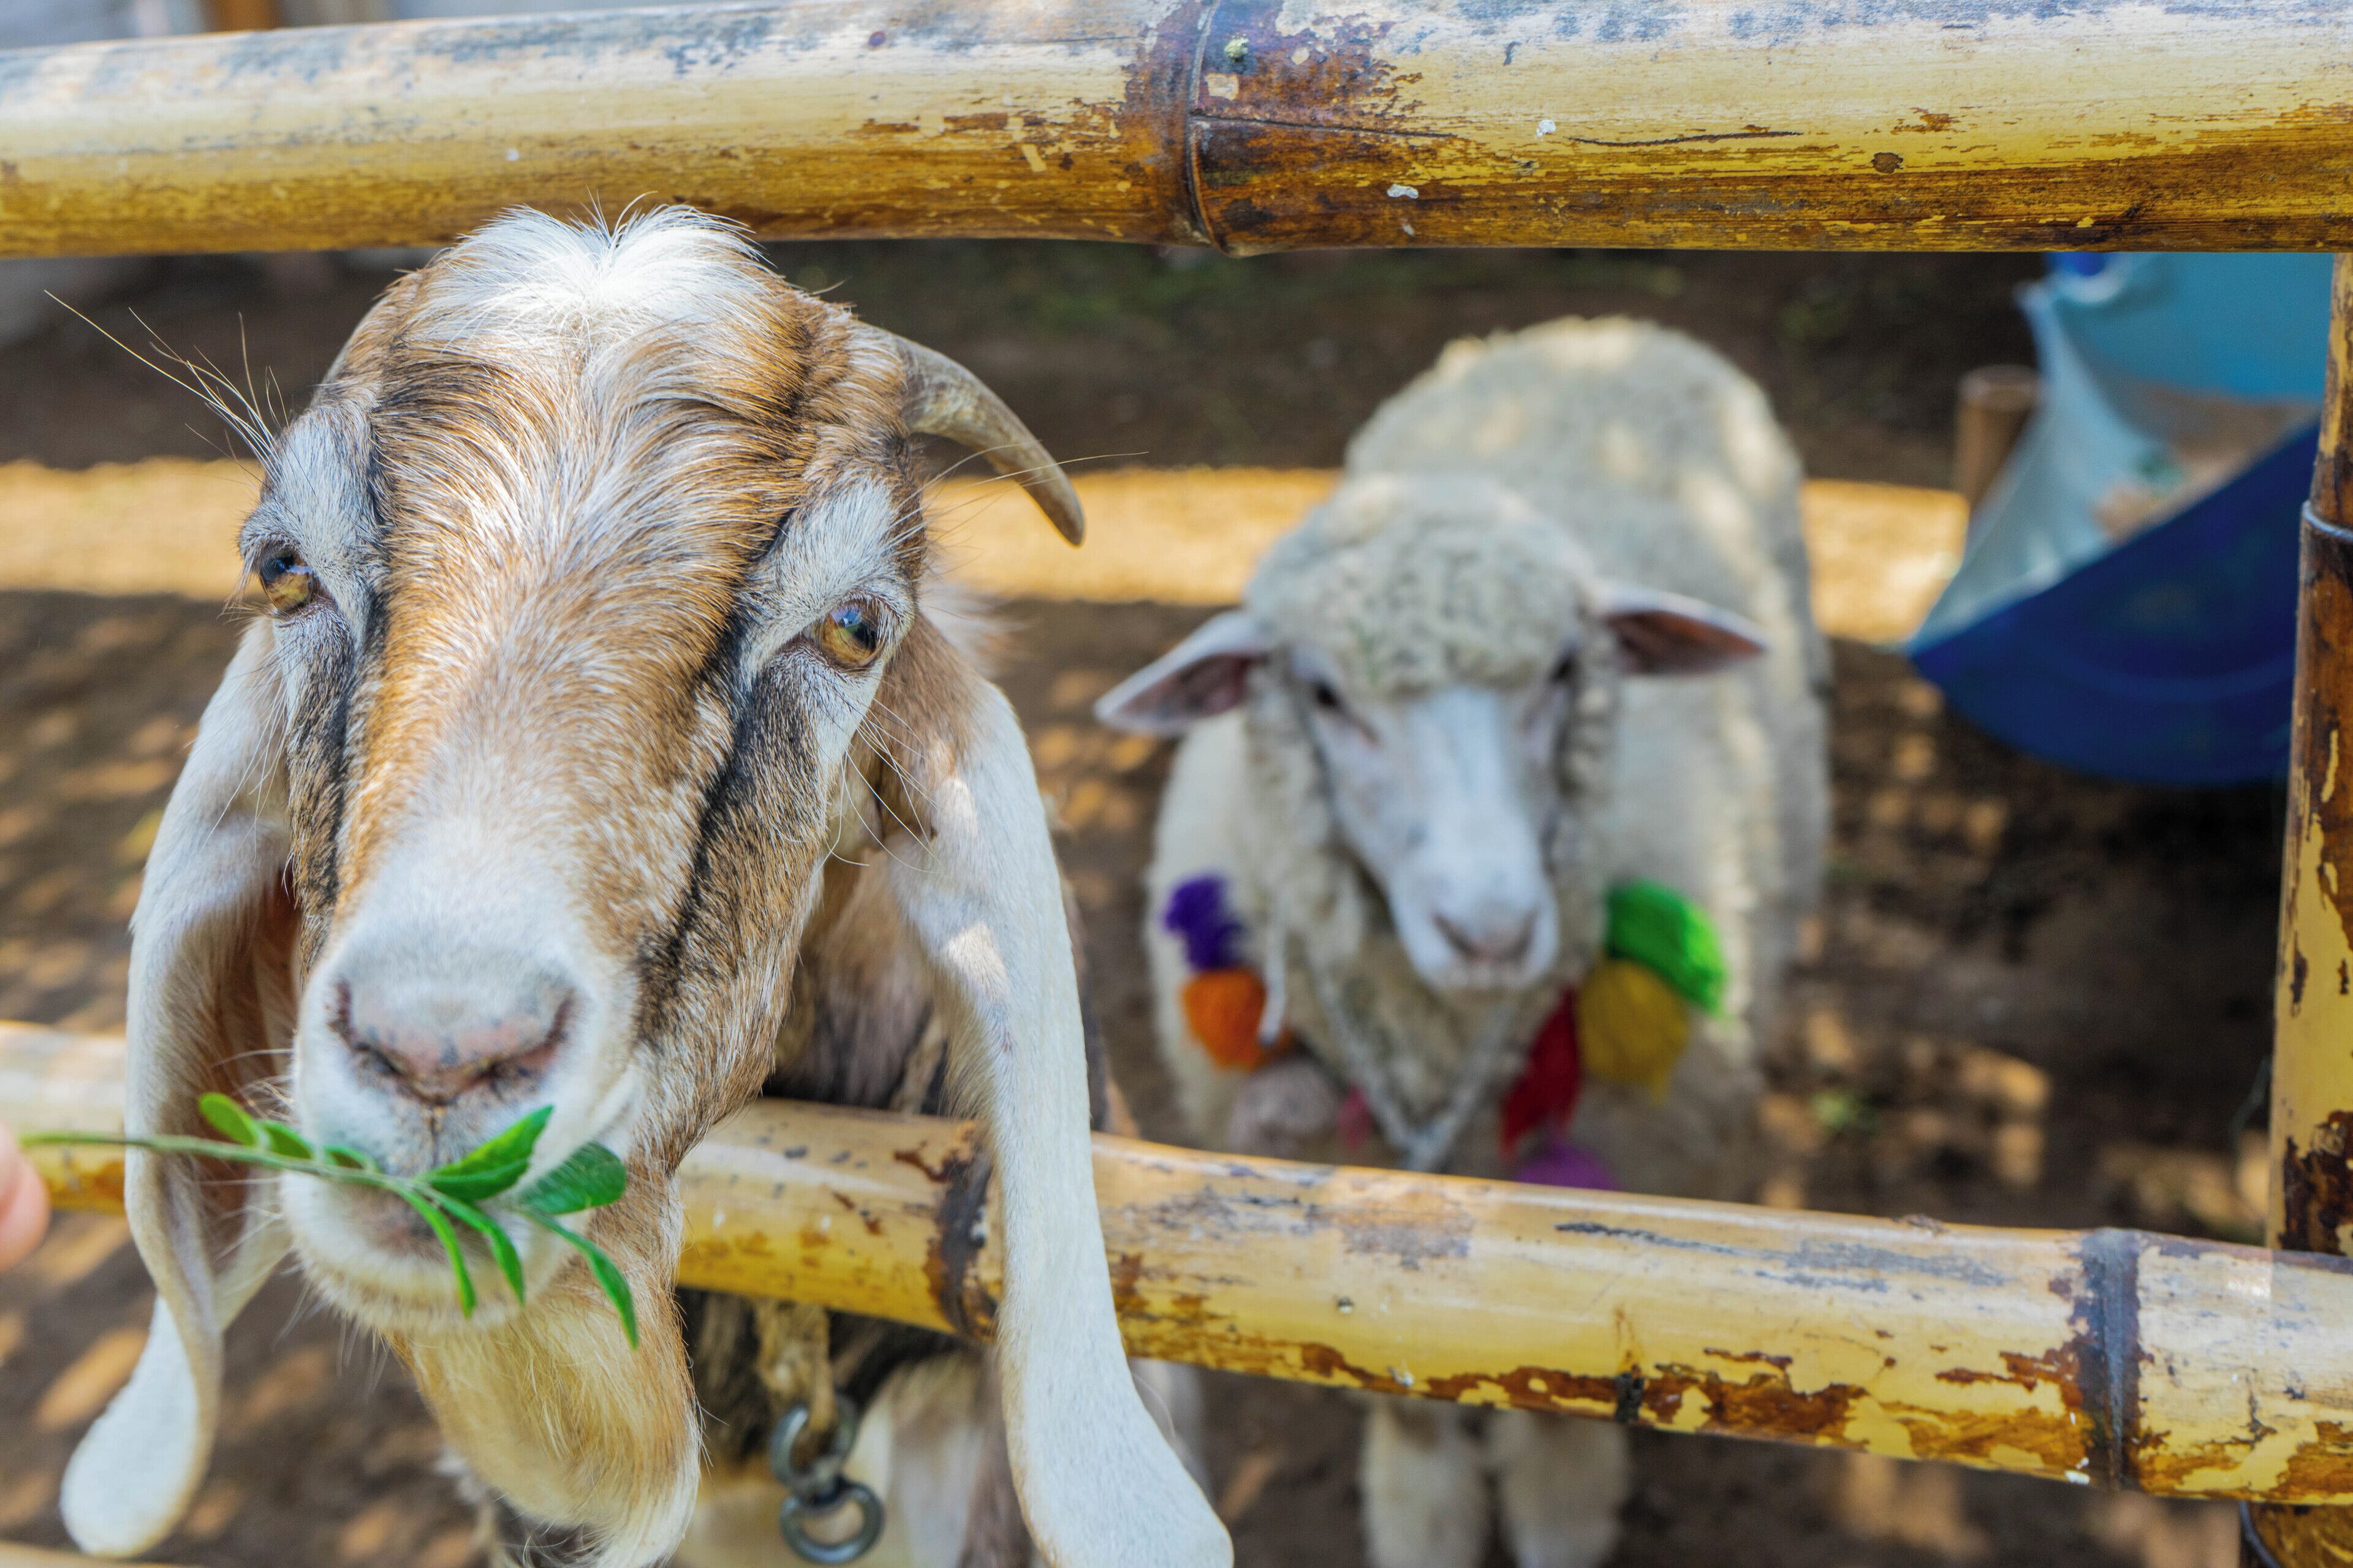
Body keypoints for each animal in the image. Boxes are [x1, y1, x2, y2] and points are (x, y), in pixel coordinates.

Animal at [1096, 317, 1828, 1568]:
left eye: (1566, 671)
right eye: (1323, 694)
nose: (1490, 928)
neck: (1441, 1045)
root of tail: (1603, 328)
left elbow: (1568, 1408)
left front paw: (1561, 1516)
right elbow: (1398, 1397)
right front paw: (1424, 1517)